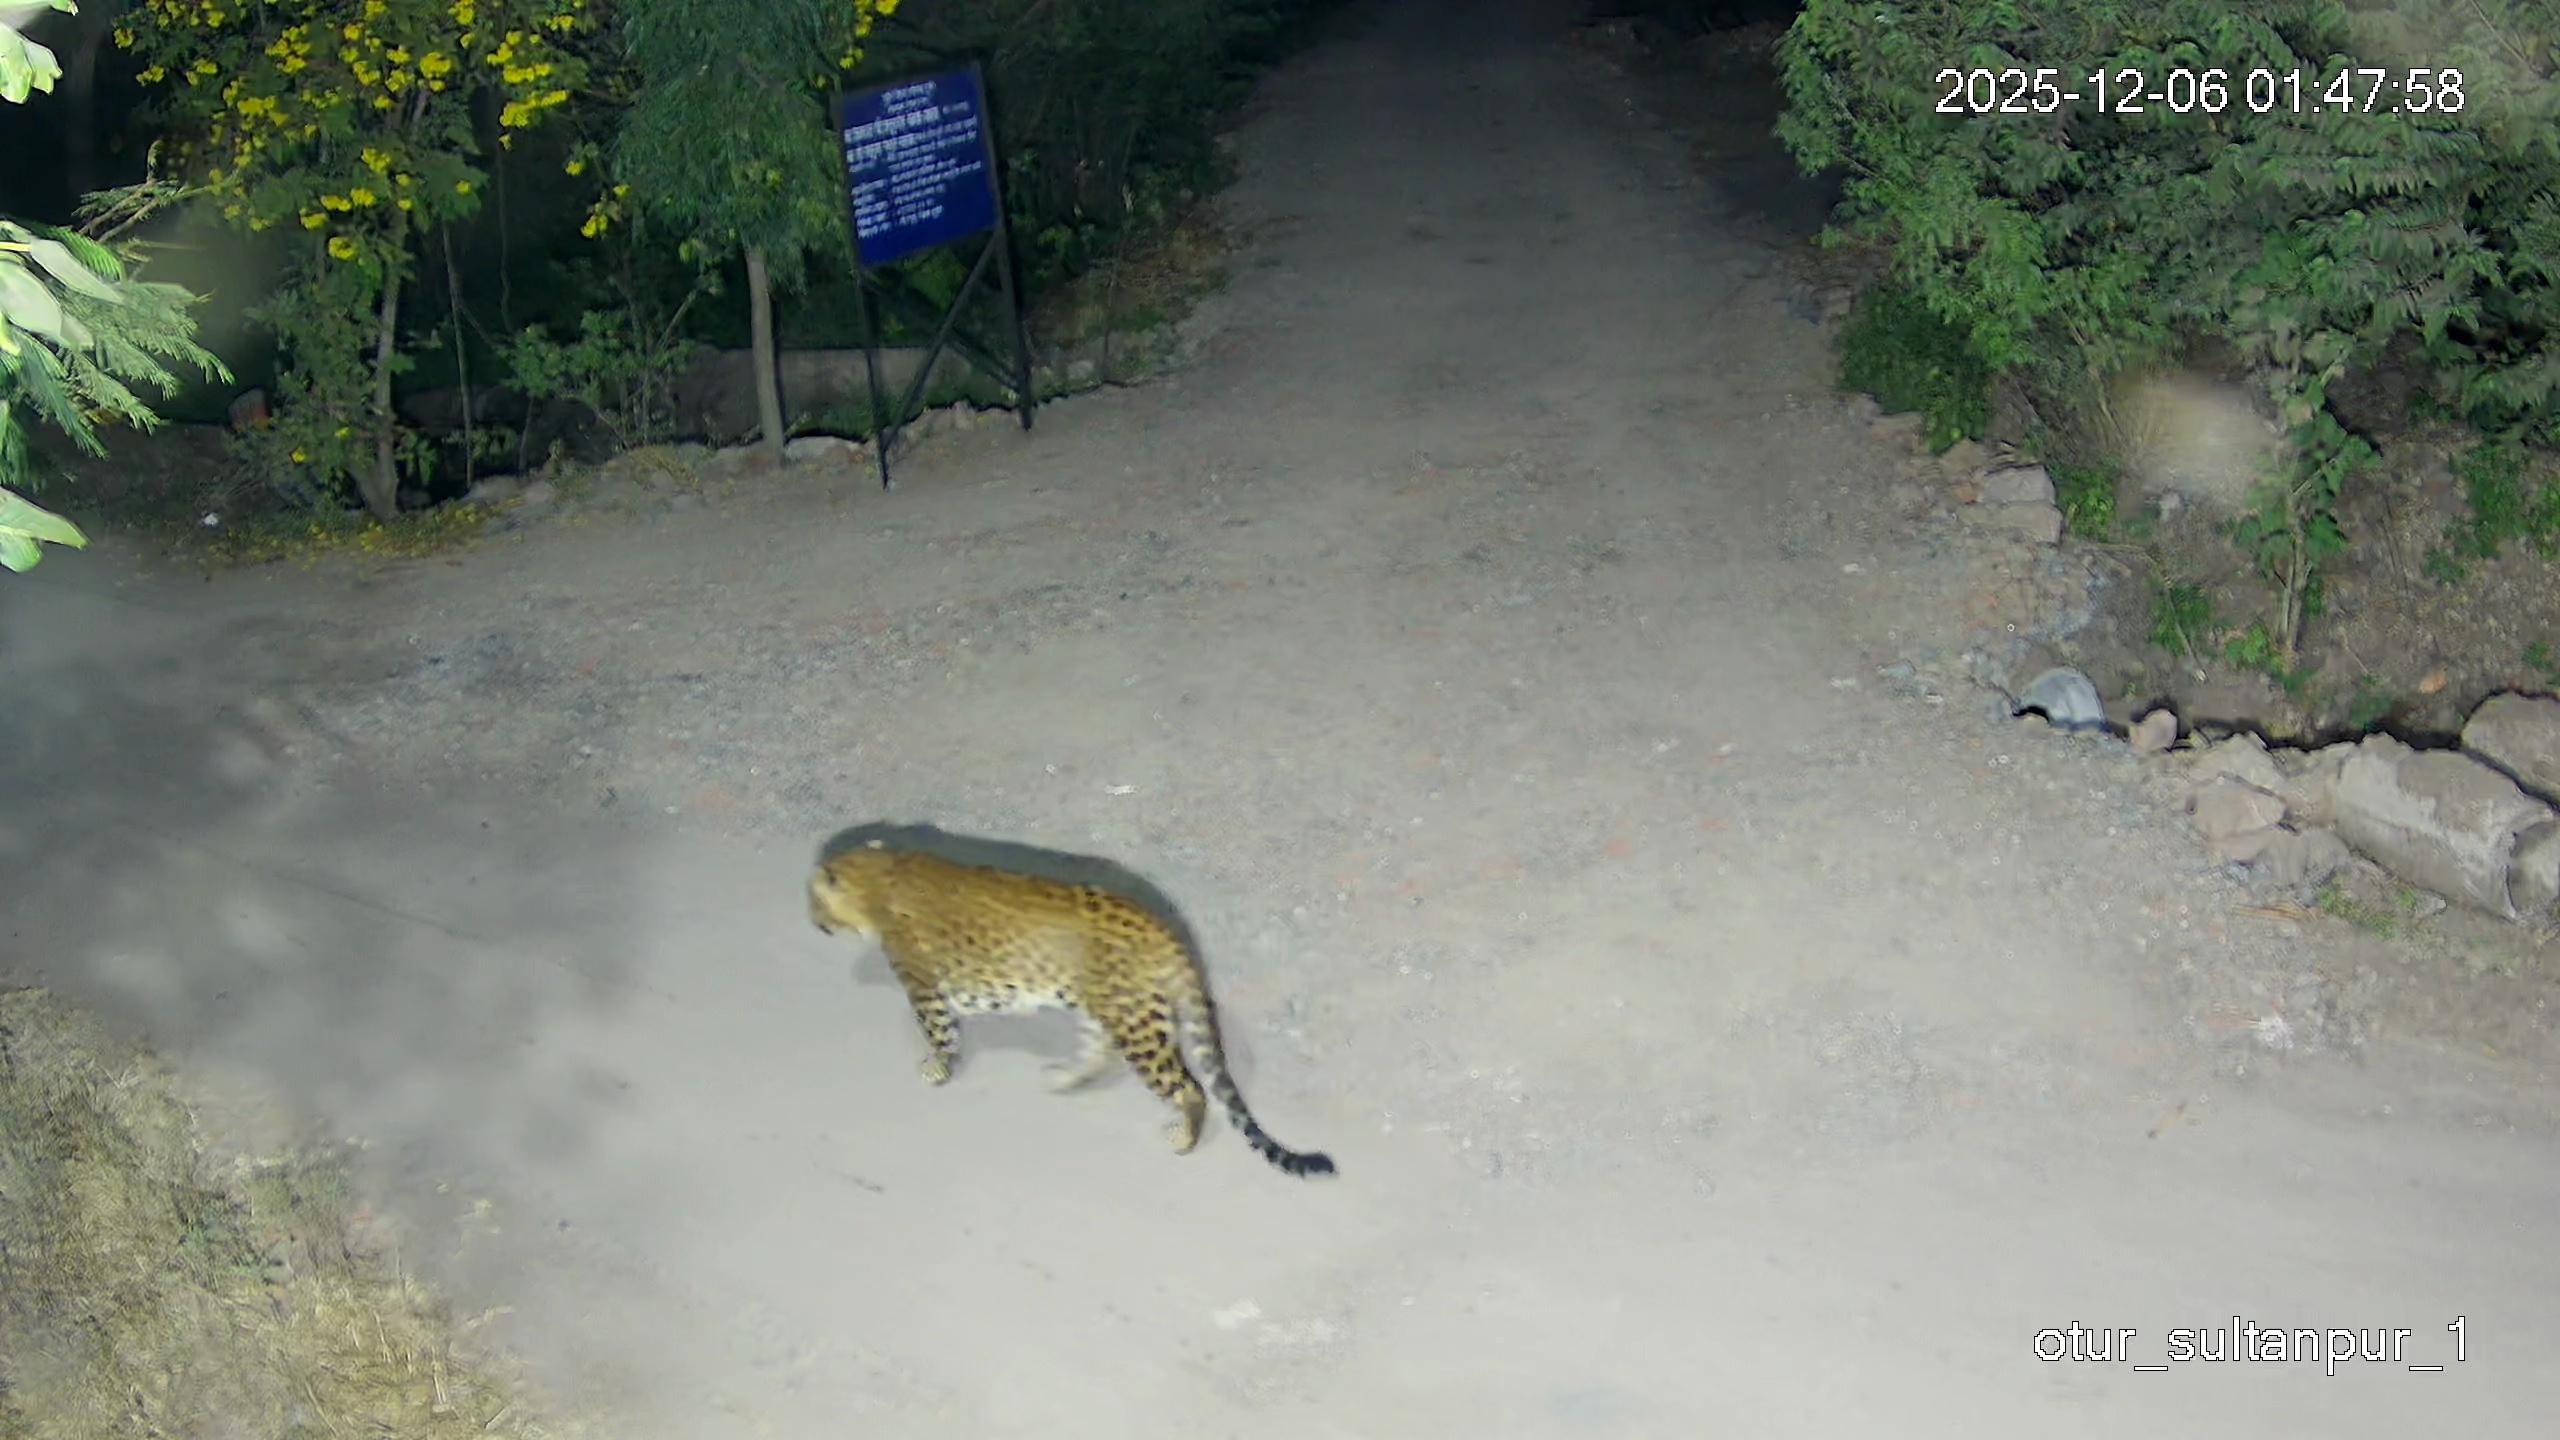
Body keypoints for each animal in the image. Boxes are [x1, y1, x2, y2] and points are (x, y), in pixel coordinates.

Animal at [807, 834, 1338, 1179]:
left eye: (813, 901)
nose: (813, 922)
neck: (881, 876)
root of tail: (1162, 927)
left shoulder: (922, 987)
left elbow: (940, 1033)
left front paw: (937, 1070)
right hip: (1099, 1008)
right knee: (1100, 1052)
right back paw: (1064, 1079)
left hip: (1136, 1024)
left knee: (1189, 1088)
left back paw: (1183, 1140)